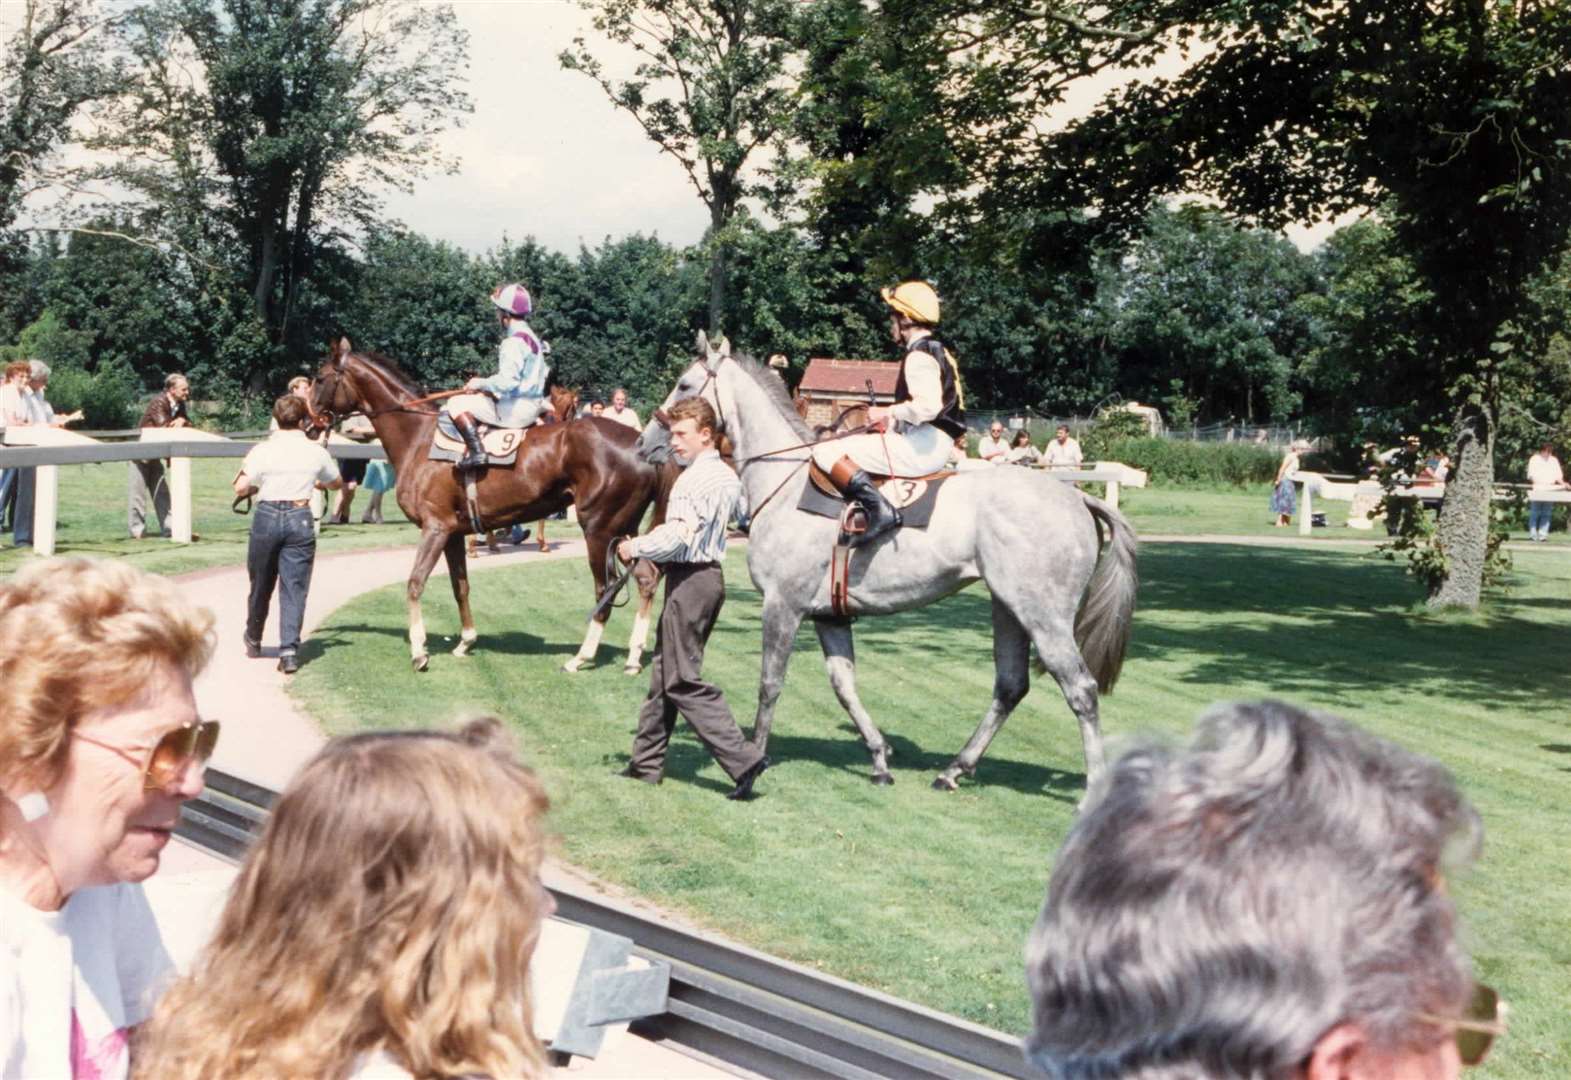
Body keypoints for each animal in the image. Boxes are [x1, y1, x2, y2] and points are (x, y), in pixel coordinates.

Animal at [312, 342, 669, 672]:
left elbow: (415, 583)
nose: (312, 422)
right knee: (647, 578)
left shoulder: (435, 527)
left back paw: (581, 657)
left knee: (605, 589)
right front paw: (465, 641)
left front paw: (419, 652)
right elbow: (460, 586)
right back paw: (634, 657)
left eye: (319, 378)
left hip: (599, 531)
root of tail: (640, 446)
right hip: (624, 532)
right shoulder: (453, 533)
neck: (419, 438)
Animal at [631, 344, 1137, 795]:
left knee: (1080, 689)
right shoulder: (829, 616)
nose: (644, 443)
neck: (786, 481)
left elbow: (770, 684)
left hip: (1044, 617)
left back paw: (1092, 787)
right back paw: (954, 770)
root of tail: (1077, 496)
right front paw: (878, 759)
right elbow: (844, 686)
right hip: (1008, 609)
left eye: (684, 384)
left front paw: (753, 759)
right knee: (1010, 686)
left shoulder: (782, 606)